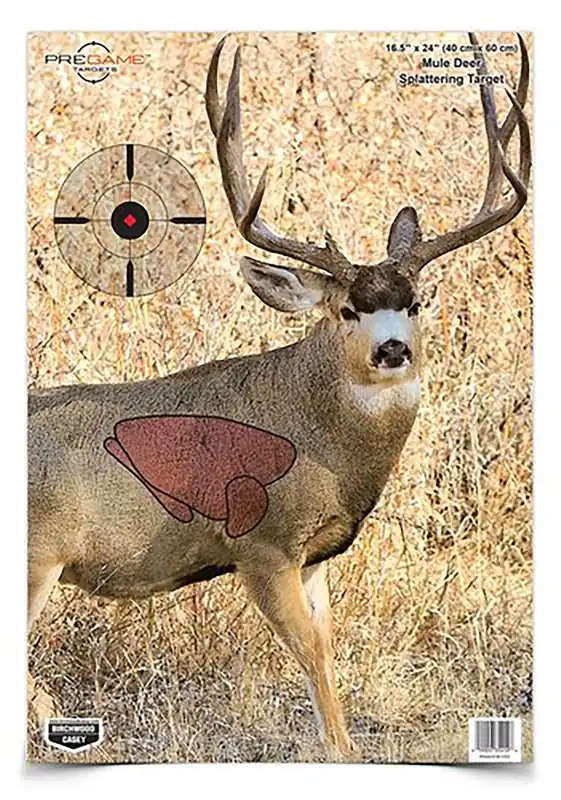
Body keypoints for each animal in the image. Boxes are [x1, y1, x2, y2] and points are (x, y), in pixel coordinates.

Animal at [28, 33, 530, 760]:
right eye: (348, 310)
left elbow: (328, 653)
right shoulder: (260, 545)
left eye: (413, 303)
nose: (392, 350)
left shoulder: (314, 556)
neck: (320, 442)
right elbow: (311, 659)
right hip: (36, 558)